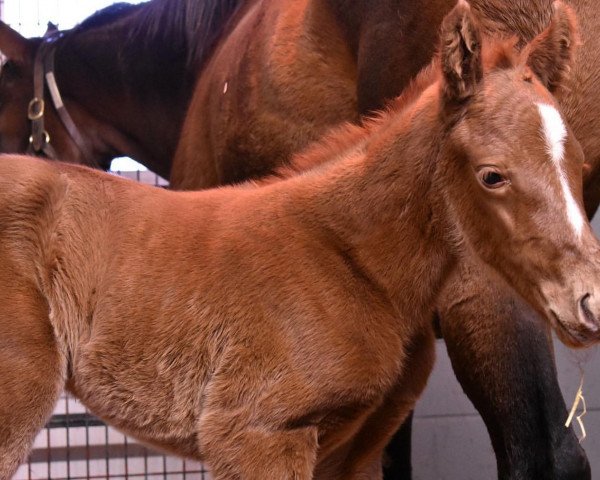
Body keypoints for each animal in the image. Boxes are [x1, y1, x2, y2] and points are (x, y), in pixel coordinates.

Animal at [1, 3, 600, 480]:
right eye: (491, 175)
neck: (348, 255)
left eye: (579, 167)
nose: (589, 301)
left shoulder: (353, 447)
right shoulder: (260, 434)